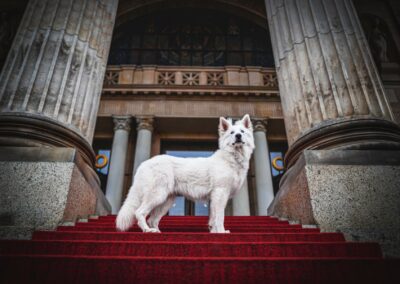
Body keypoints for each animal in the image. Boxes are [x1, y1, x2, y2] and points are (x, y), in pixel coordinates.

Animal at [115, 113, 255, 233]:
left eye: (242, 132)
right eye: (232, 133)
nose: (238, 136)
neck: (232, 158)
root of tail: (144, 164)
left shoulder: (214, 198)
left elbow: (213, 218)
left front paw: (214, 232)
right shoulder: (220, 194)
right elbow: (220, 217)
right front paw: (221, 232)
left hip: (166, 200)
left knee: (152, 219)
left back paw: (157, 231)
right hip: (157, 195)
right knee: (139, 212)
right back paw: (147, 230)